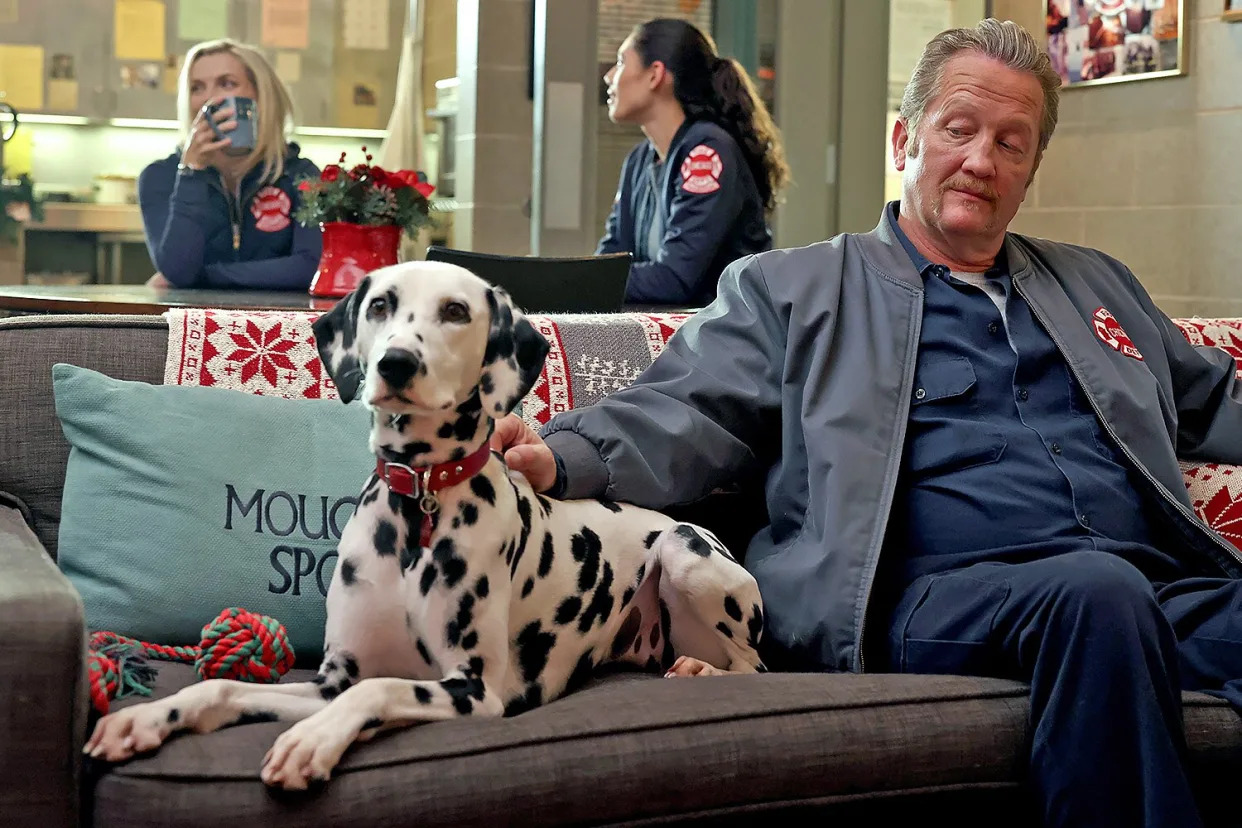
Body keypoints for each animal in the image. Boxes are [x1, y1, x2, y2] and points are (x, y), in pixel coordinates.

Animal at [82, 261, 760, 794]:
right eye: (380, 305)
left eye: (456, 310)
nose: (395, 363)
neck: (420, 506)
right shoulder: (330, 679)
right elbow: (223, 690)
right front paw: (149, 718)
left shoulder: (473, 691)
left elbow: (377, 691)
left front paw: (312, 740)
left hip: (687, 554)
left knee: (751, 664)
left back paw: (703, 671)